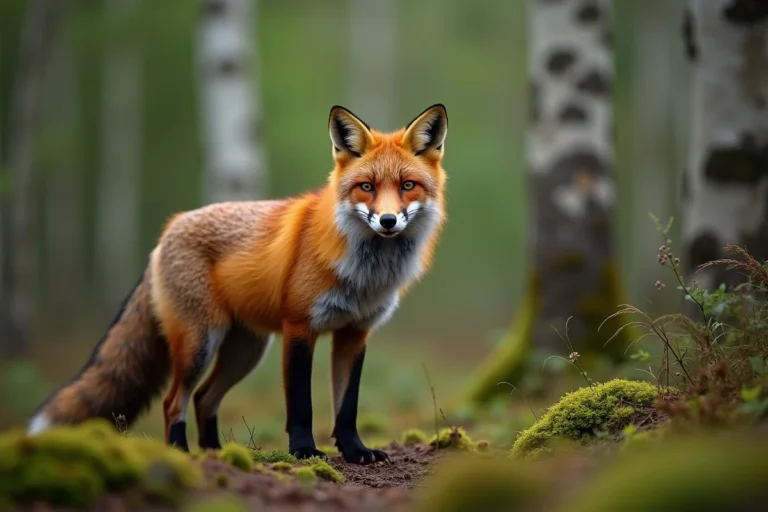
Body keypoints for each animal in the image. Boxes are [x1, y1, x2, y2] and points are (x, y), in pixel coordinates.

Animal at [27, 104, 448, 464]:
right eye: (367, 187)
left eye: (407, 185)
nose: (388, 221)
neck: (366, 272)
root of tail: (167, 232)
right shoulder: (299, 327)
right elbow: (301, 404)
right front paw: (303, 451)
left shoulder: (355, 333)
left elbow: (347, 406)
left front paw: (355, 450)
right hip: (200, 343)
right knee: (174, 401)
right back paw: (182, 453)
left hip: (245, 351)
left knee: (204, 399)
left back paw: (217, 452)